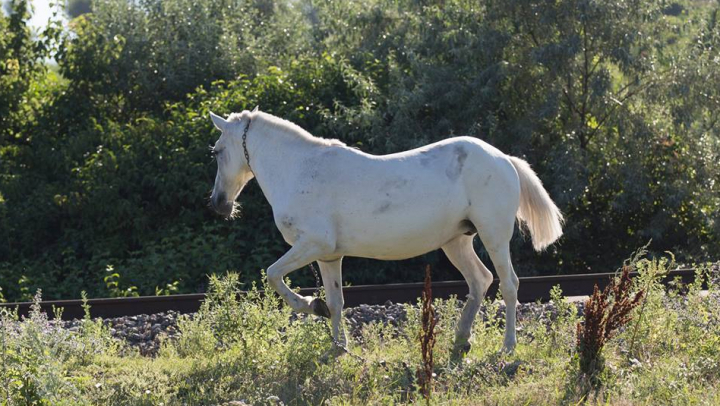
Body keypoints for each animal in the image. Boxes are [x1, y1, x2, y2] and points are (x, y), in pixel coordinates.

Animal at [208, 108, 564, 358]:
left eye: (216, 151)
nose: (218, 204)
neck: (300, 170)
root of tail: (504, 159)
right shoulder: (328, 256)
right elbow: (336, 301)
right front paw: (337, 348)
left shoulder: (311, 245)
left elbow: (273, 275)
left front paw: (311, 306)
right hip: (456, 242)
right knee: (480, 280)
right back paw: (461, 340)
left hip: (494, 236)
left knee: (508, 284)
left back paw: (507, 347)